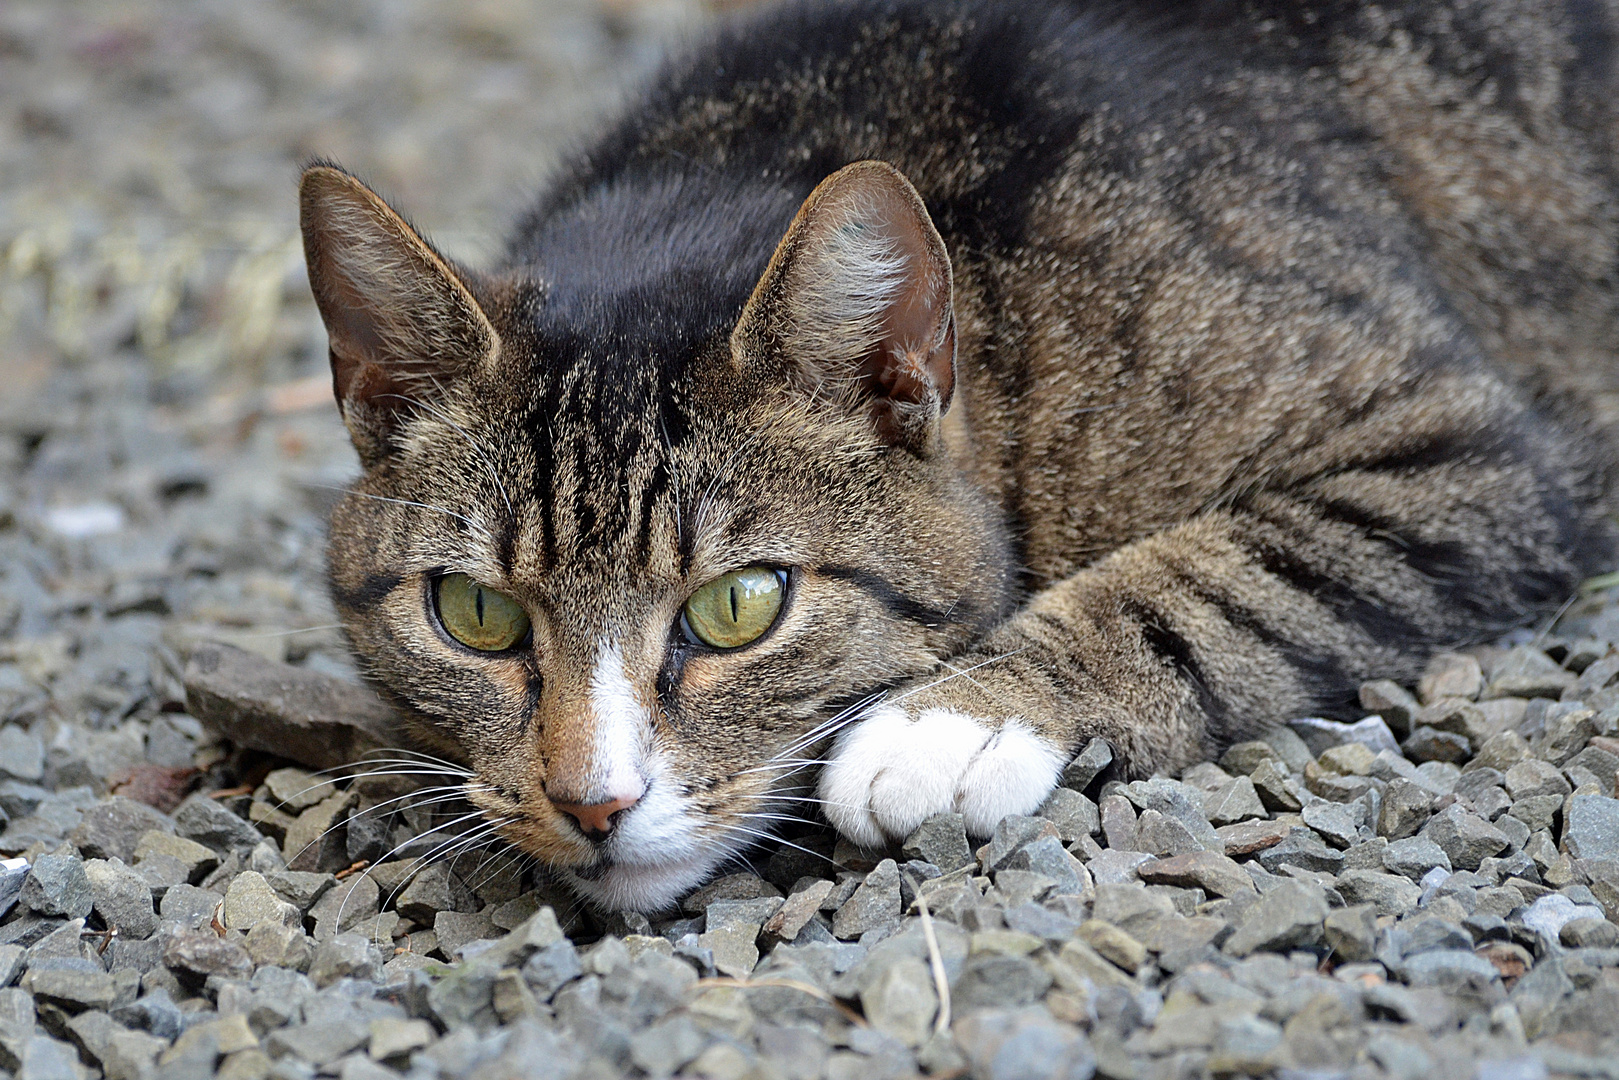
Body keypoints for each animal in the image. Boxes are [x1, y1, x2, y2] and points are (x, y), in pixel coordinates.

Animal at [301, 0, 1619, 913]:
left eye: (740, 606)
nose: (593, 803)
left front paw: (956, 722)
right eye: (473, 614)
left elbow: (1212, 581)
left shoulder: (1455, 452)